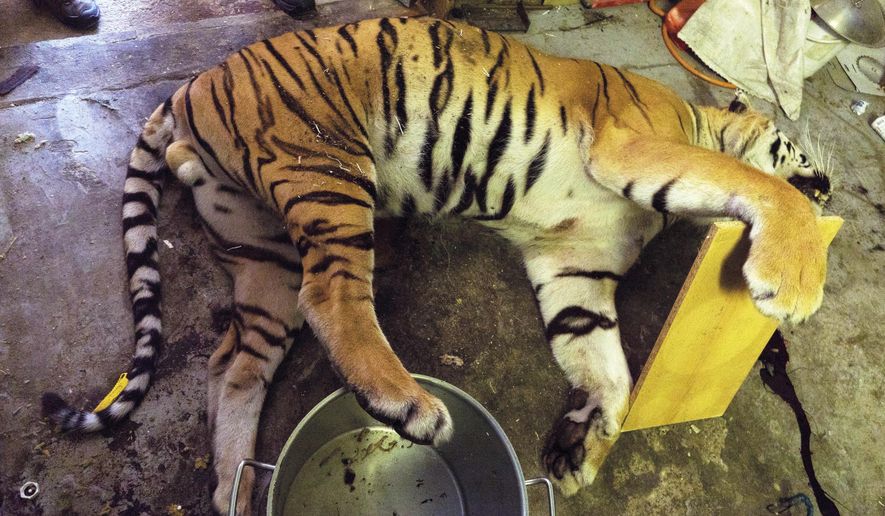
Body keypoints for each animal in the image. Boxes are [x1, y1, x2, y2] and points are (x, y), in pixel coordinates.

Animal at [41, 15, 832, 515]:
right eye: (807, 158)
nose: (828, 186)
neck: (698, 119)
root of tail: (188, 87)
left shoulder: (574, 266)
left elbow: (613, 378)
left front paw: (579, 458)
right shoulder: (633, 147)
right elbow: (758, 185)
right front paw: (795, 280)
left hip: (263, 247)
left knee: (234, 361)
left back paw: (235, 490)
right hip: (326, 165)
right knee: (333, 295)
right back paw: (411, 408)